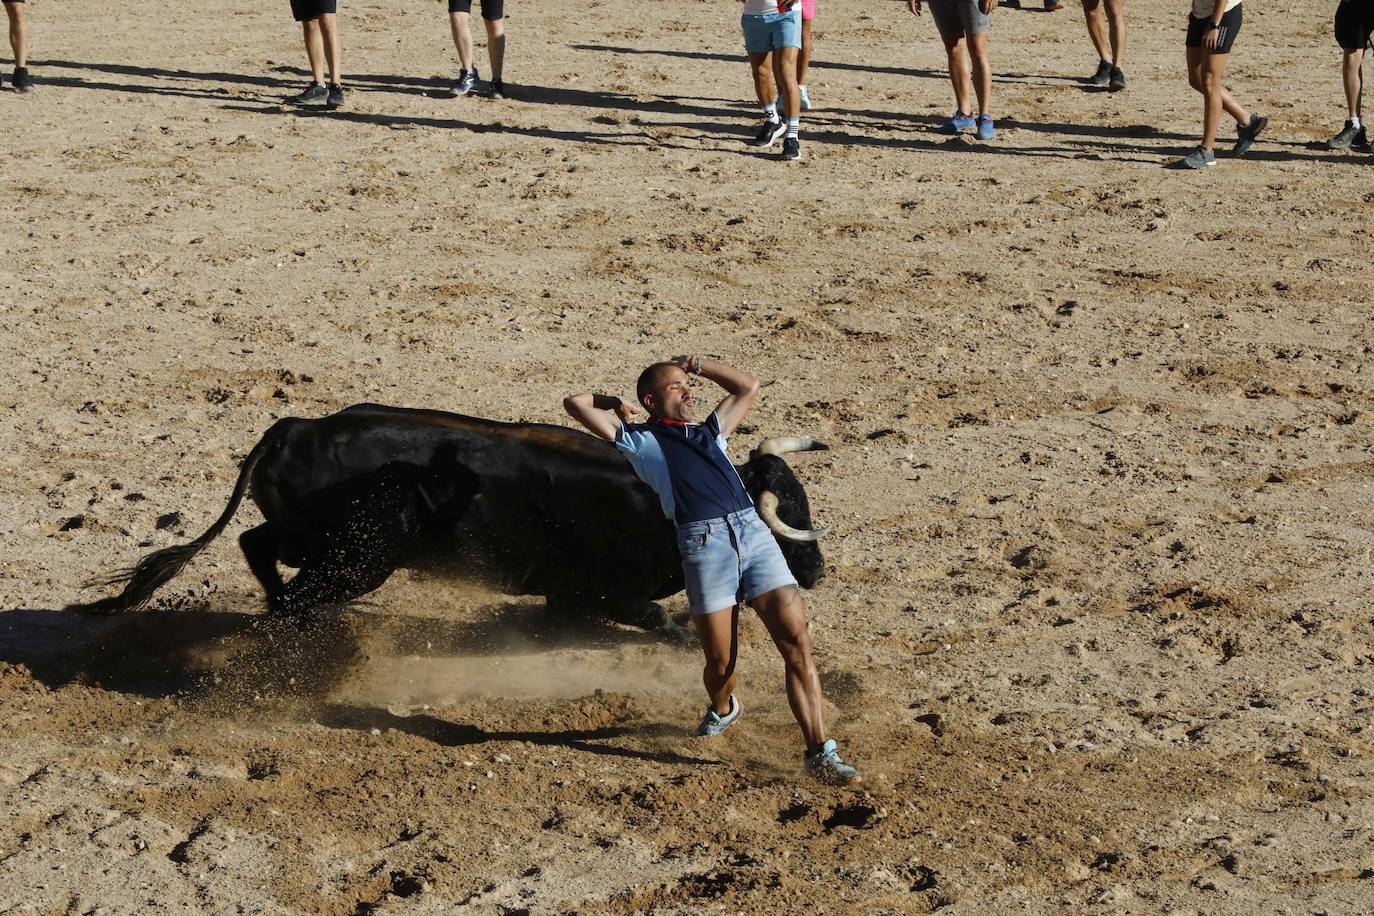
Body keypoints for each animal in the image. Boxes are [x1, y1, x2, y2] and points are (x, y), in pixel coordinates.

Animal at [69, 403, 829, 634]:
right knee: (279, 569)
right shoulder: (600, 590)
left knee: (258, 546)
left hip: (305, 537)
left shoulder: (568, 598)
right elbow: (661, 622)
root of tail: (295, 427)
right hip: (347, 558)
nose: (817, 572)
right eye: (783, 512)